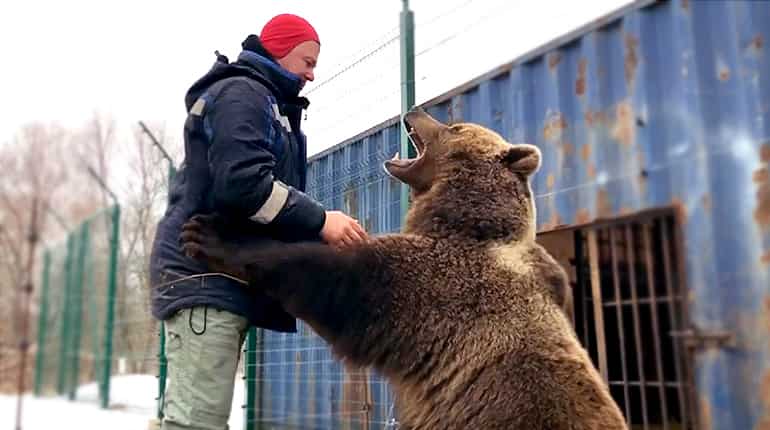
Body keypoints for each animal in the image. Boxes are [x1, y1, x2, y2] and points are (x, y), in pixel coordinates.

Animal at [180, 107, 628, 430]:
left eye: (454, 125)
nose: (415, 110)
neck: (467, 223)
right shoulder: (546, 275)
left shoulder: (440, 289)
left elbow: (340, 281)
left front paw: (211, 235)